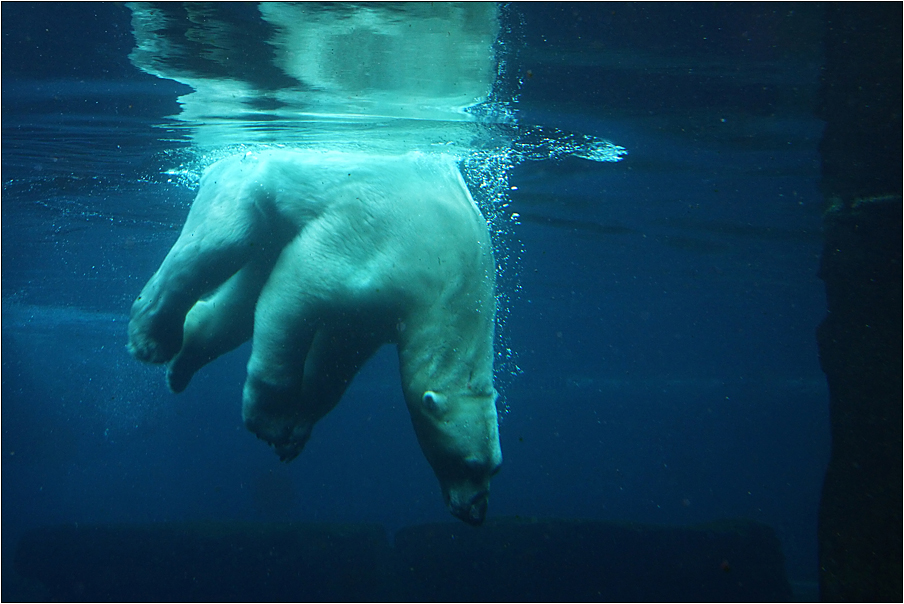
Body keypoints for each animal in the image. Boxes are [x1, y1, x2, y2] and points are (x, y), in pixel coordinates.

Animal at [129, 149, 502, 520]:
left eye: (495, 468)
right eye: (468, 464)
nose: (476, 512)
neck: (457, 284)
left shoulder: (379, 312)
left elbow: (335, 357)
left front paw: (296, 432)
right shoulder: (391, 248)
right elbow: (298, 285)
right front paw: (271, 422)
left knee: (235, 305)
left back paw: (182, 365)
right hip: (246, 188)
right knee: (215, 247)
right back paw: (151, 340)